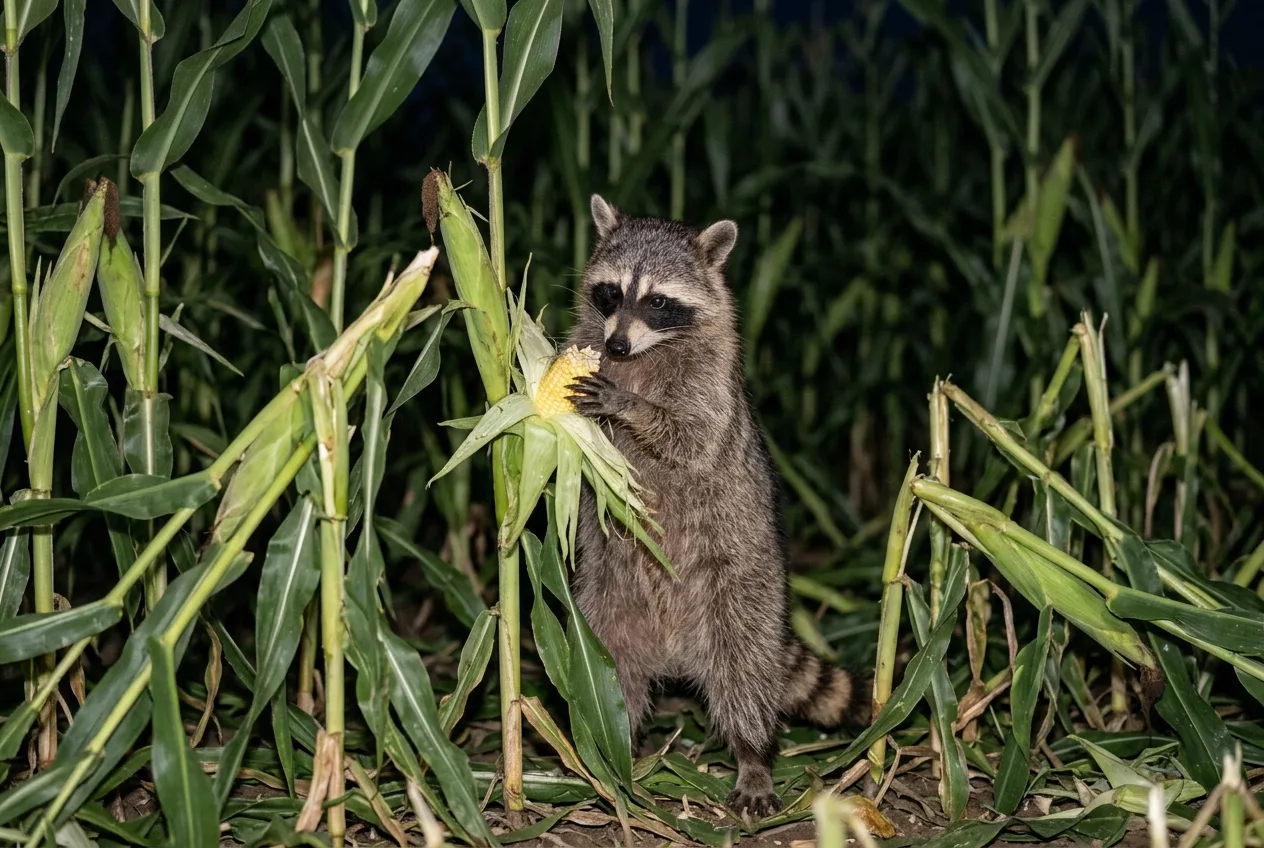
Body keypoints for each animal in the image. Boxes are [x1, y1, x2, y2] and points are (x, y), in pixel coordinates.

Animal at [562, 195, 870, 818]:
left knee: (744, 668)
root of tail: (675, 651)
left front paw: (629, 405)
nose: (617, 347)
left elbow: (691, 437)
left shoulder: (710, 384)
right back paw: (612, 747)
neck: (642, 353)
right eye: (610, 292)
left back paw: (752, 754)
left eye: (658, 301)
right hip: (607, 598)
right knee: (611, 668)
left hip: (741, 581)